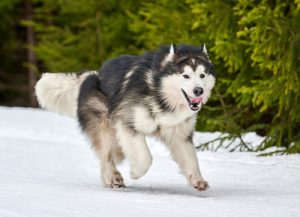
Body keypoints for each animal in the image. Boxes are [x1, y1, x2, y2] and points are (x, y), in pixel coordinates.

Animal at [35, 44, 216, 192]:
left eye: (202, 75)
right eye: (185, 75)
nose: (198, 91)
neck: (158, 91)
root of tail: (93, 74)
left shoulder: (180, 135)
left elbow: (190, 159)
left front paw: (197, 180)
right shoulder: (127, 123)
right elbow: (145, 158)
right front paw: (136, 172)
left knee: (108, 155)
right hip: (104, 124)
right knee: (106, 154)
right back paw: (112, 177)